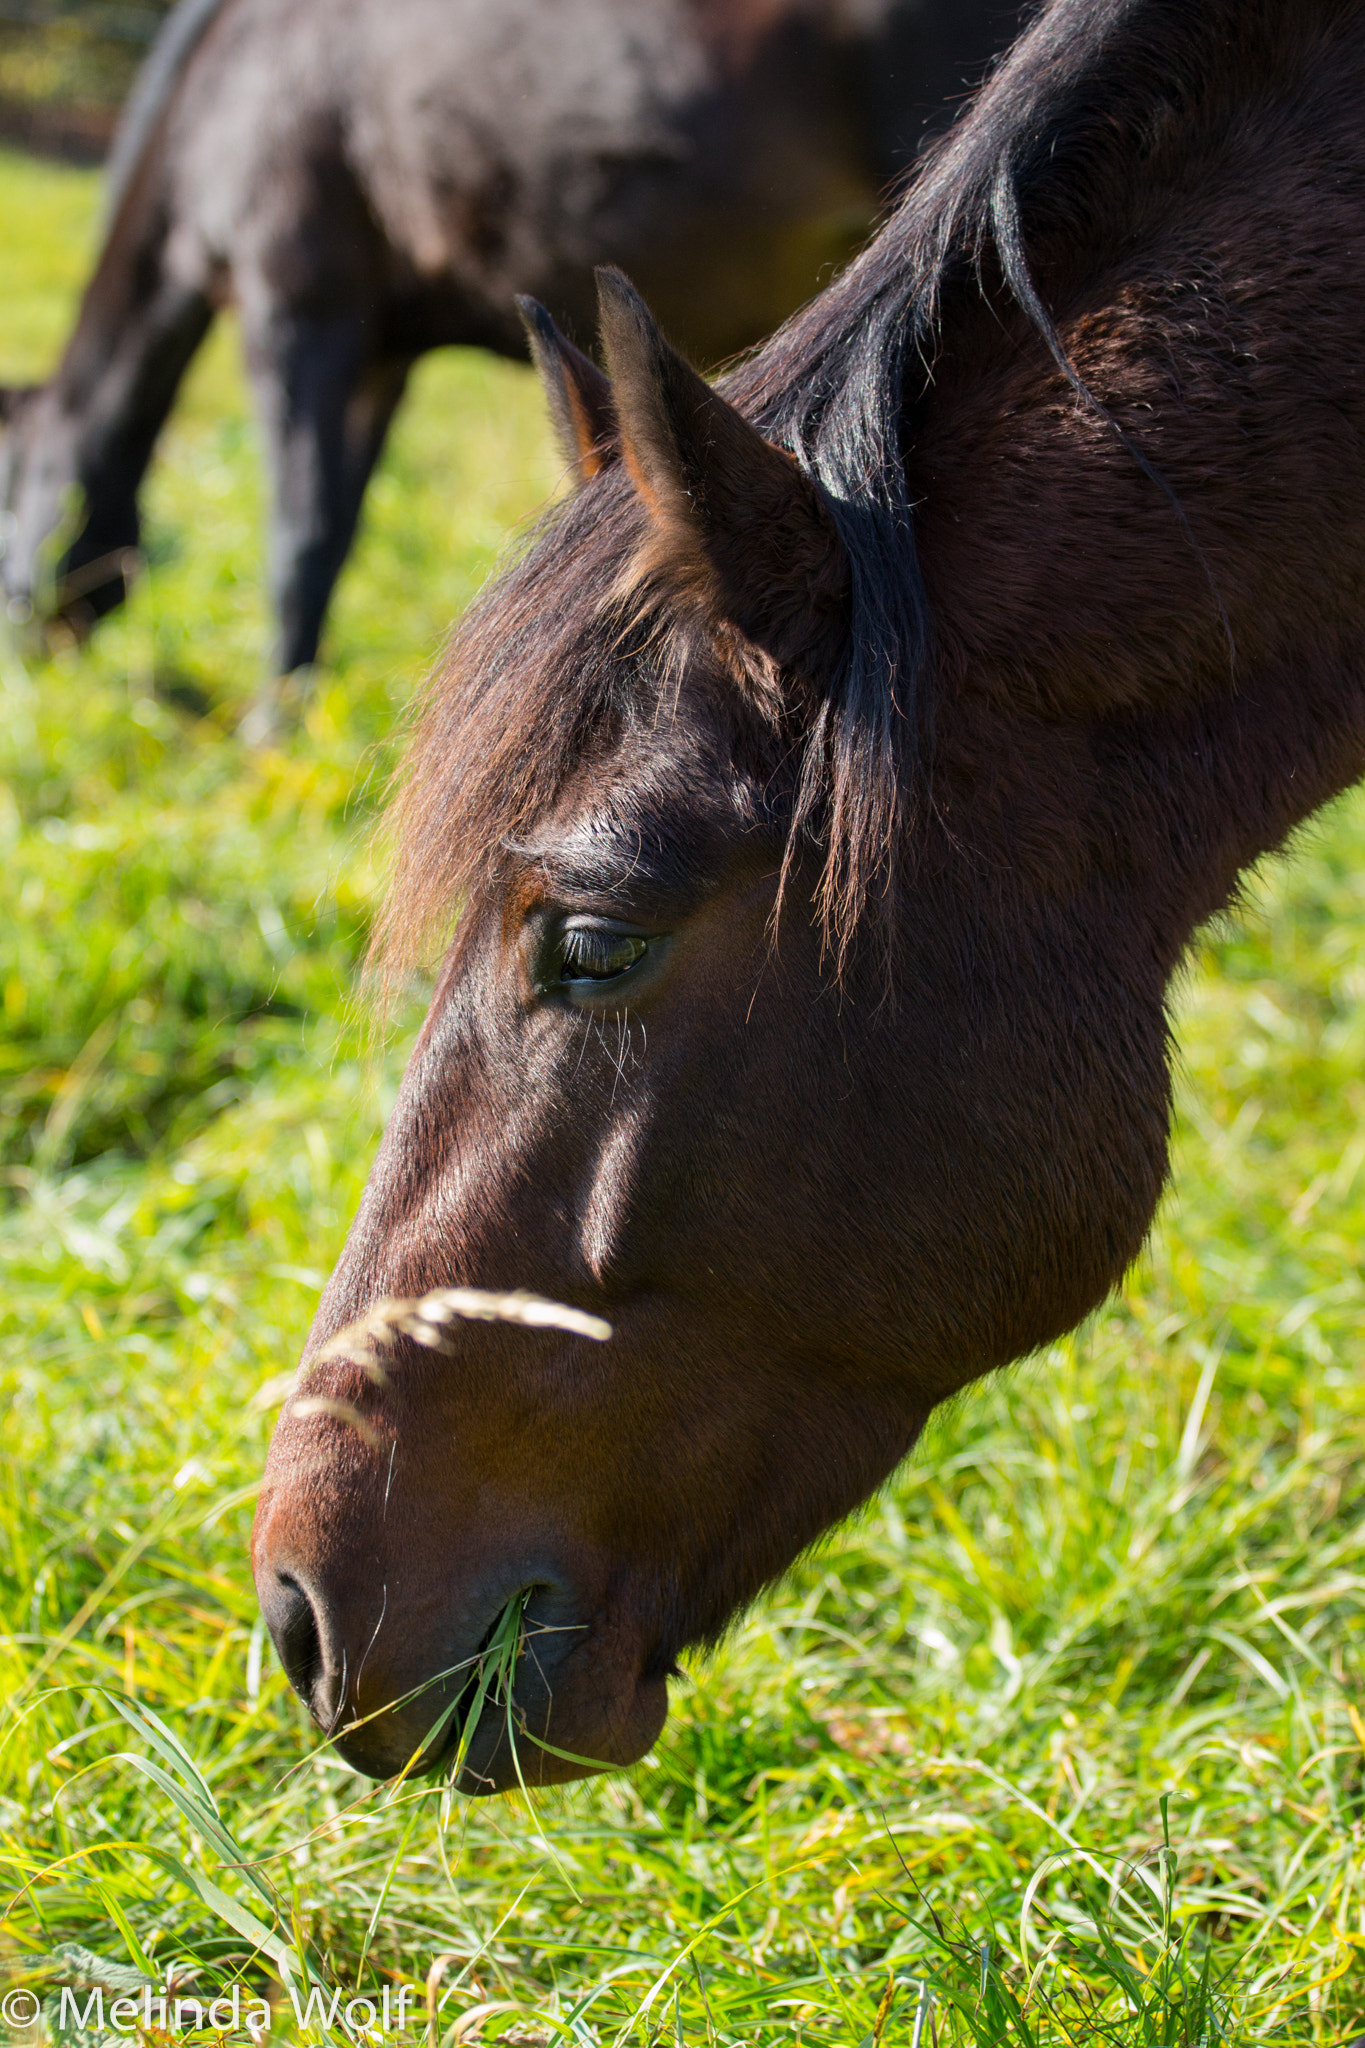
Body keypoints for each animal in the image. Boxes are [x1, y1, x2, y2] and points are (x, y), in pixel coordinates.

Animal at [0, 0, 1019, 704]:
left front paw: (268, 727)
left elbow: (296, 541)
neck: (231, 84)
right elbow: (334, 538)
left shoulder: (298, 311)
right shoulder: (381, 355)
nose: (25, 654)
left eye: (8, 492)